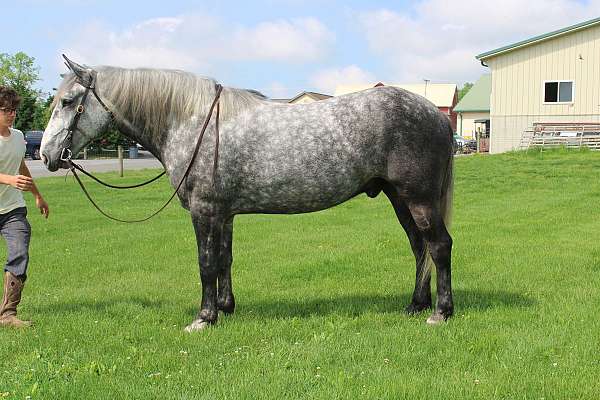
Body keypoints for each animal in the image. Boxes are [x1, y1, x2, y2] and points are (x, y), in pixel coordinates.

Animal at [41, 58, 454, 332]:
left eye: (68, 101)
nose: (46, 155)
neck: (193, 123)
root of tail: (436, 114)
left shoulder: (205, 211)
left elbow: (206, 262)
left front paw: (204, 318)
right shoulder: (224, 214)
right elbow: (224, 260)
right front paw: (226, 308)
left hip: (417, 198)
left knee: (438, 246)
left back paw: (440, 312)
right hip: (399, 198)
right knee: (419, 247)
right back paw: (415, 306)